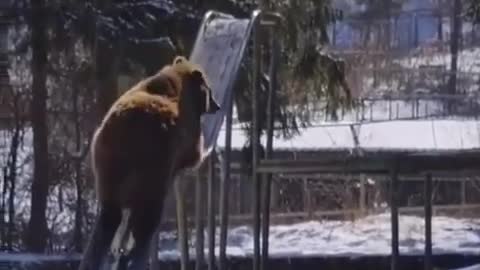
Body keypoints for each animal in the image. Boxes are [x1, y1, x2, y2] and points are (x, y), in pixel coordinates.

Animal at [79, 56, 221, 268]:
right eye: (210, 89)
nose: (217, 105)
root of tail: (122, 134)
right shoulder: (188, 129)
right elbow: (194, 153)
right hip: (152, 166)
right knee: (148, 215)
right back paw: (135, 253)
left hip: (106, 167)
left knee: (109, 215)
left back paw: (97, 256)